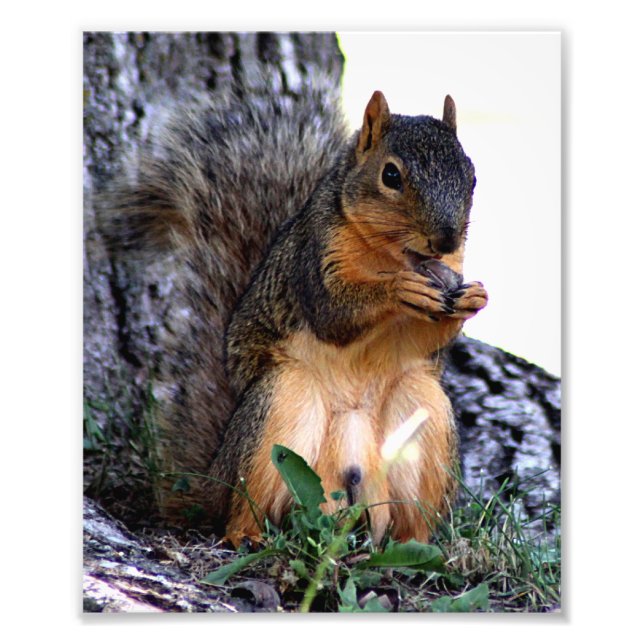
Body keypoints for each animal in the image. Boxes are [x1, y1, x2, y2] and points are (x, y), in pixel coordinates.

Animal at [103, 85, 488, 546]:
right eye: (391, 176)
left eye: (472, 175)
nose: (446, 238)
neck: (393, 254)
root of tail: (212, 482)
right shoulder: (312, 257)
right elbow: (333, 313)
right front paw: (399, 288)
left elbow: (425, 339)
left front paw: (474, 298)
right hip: (281, 403)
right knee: (243, 506)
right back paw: (246, 534)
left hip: (423, 413)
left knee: (408, 519)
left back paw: (418, 546)